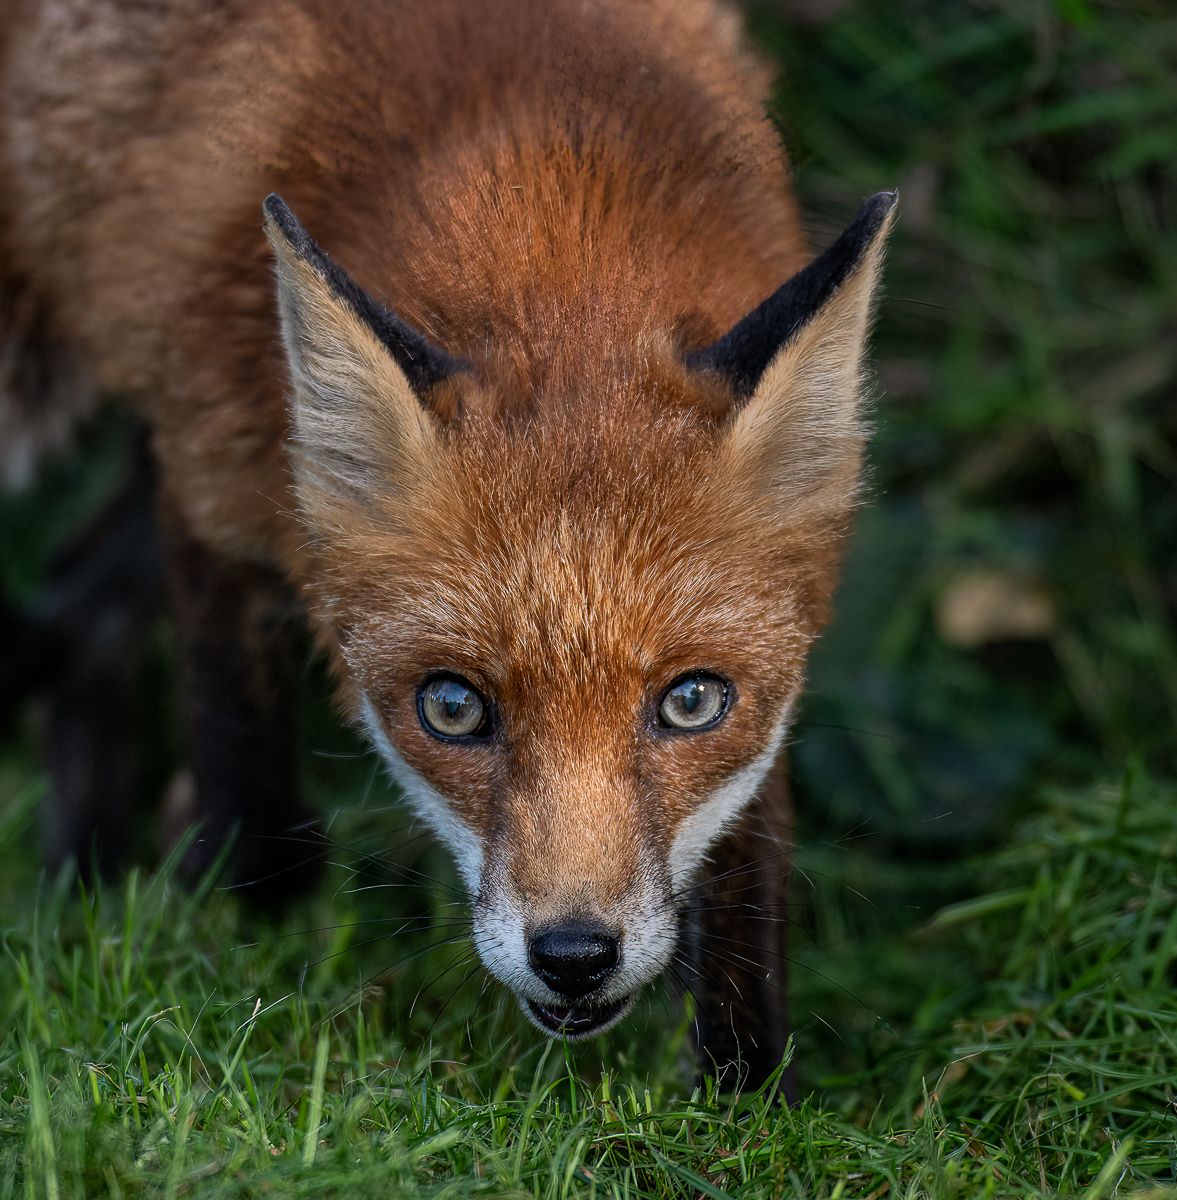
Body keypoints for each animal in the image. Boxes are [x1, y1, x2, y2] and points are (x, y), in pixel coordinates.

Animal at [0, 0, 895, 1086]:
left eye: (691, 701)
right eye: (452, 707)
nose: (574, 955)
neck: (548, 185)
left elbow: (741, 890)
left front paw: (744, 1089)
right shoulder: (213, 482)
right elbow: (244, 768)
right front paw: (245, 944)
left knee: (73, 596)